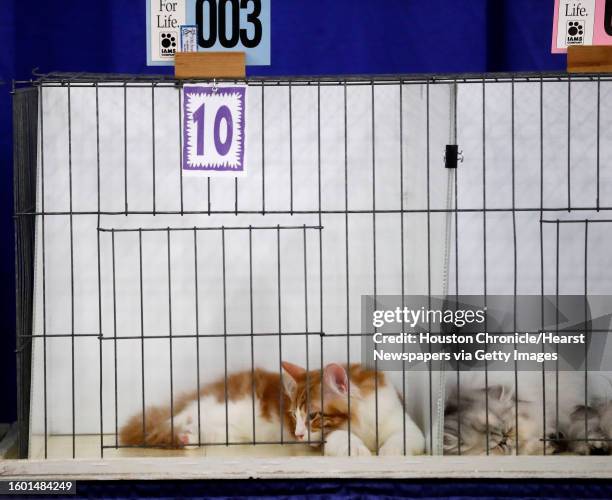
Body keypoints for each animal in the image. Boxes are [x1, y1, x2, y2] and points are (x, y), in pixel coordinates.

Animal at [119, 364, 426, 458]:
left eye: (312, 415)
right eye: (294, 416)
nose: (298, 434)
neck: (367, 422)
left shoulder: (401, 418)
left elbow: (409, 437)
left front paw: (390, 450)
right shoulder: (325, 438)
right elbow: (341, 438)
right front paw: (357, 449)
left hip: (226, 432)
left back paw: (188, 437)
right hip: (223, 405)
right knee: (180, 415)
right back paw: (180, 431)